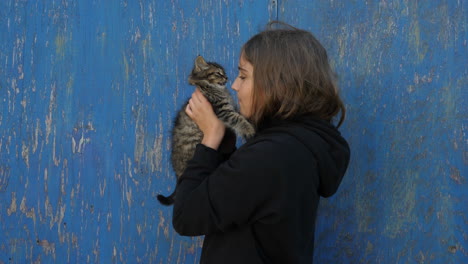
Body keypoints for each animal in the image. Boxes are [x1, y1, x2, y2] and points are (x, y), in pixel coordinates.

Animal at [157, 55, 254, 206]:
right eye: (218, 73)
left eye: (224, 73)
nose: (227, 77)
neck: (210, 87)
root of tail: (178, 175)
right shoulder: (223, 110)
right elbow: (238, 119)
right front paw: (249, 130)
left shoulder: (230, 108)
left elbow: (241, 115)